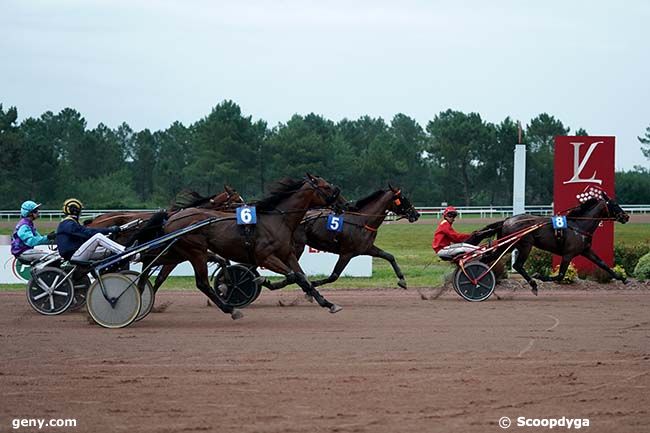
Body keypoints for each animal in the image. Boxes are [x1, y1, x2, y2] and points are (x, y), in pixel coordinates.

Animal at [159, 173, 346, 318]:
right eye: (326, 187)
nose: (344, 204)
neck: (277, 221)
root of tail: (170, 220)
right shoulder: (265, 257)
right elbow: (294, 276)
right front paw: (263, 280)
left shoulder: (288, 254)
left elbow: (303, 277)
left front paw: (328, 304)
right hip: (196, 252)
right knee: (202, 283)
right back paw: (231, 309)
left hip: (184, 253)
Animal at [270, 185, 418, 290]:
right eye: (403, 198)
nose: (416, 214)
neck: (363, 221)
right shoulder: (347, 253)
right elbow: (333, 276)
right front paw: (311, 283)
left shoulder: (367, 248)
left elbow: (389, 256)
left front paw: (402, 280)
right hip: (298, 245)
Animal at [486, 192, 628, 294]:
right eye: (614, 204)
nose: (626, 216)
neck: (579, 226)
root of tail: (507, 220)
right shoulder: (568, 254)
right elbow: (560, 275)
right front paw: (539, 276)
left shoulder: (586, 250)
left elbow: (603, 264)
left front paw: (623, 278)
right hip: (525, 245)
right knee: (517, 265)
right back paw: (533, 284)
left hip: (509, 245)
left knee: (490, 257)